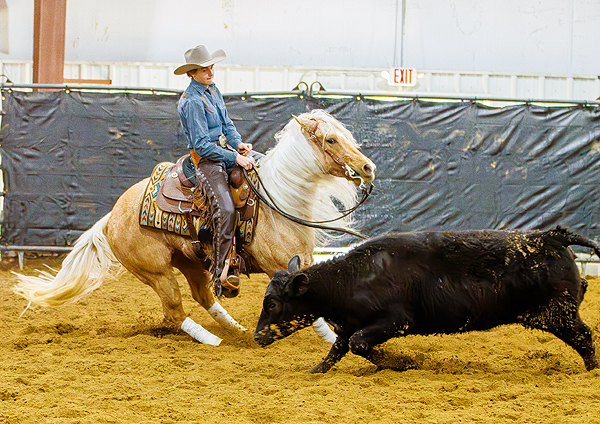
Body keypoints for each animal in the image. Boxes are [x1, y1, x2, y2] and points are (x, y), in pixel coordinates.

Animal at [12, 108, 376, 344]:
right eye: (331, 140)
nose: (367, 167)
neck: (279, 201)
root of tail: (112, 216)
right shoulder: (279, 267)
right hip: (156, 272)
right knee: (174, 312)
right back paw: (213, 341)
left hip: (191, 262)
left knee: (204, 297)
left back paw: (236, 331)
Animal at [253, 227, 600, 372]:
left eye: (271, 304)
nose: (256, 337)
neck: (351, 278)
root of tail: (552, 236)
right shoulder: (350, 324)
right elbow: (337, 350)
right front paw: (315, 371)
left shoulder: (396, 320)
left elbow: (358, 344)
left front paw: (402, 362)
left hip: (558, 314)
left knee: (584, 337)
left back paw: (591, 371)